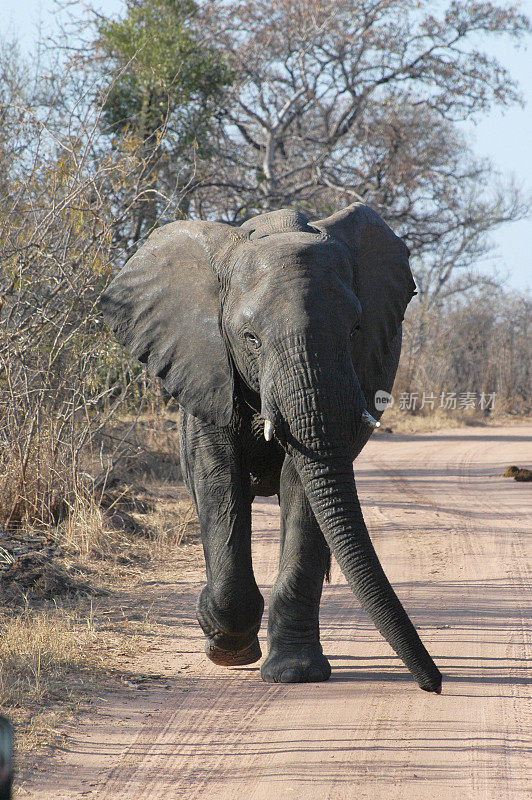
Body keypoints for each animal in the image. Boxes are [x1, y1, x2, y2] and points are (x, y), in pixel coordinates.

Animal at [100, 202, 440, 692]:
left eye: (355, 329)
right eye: (251, 339)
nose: (434, 683)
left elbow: (304, 485)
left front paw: (294, 674)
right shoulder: (206, 367)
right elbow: (219, 479)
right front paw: (225, 646)